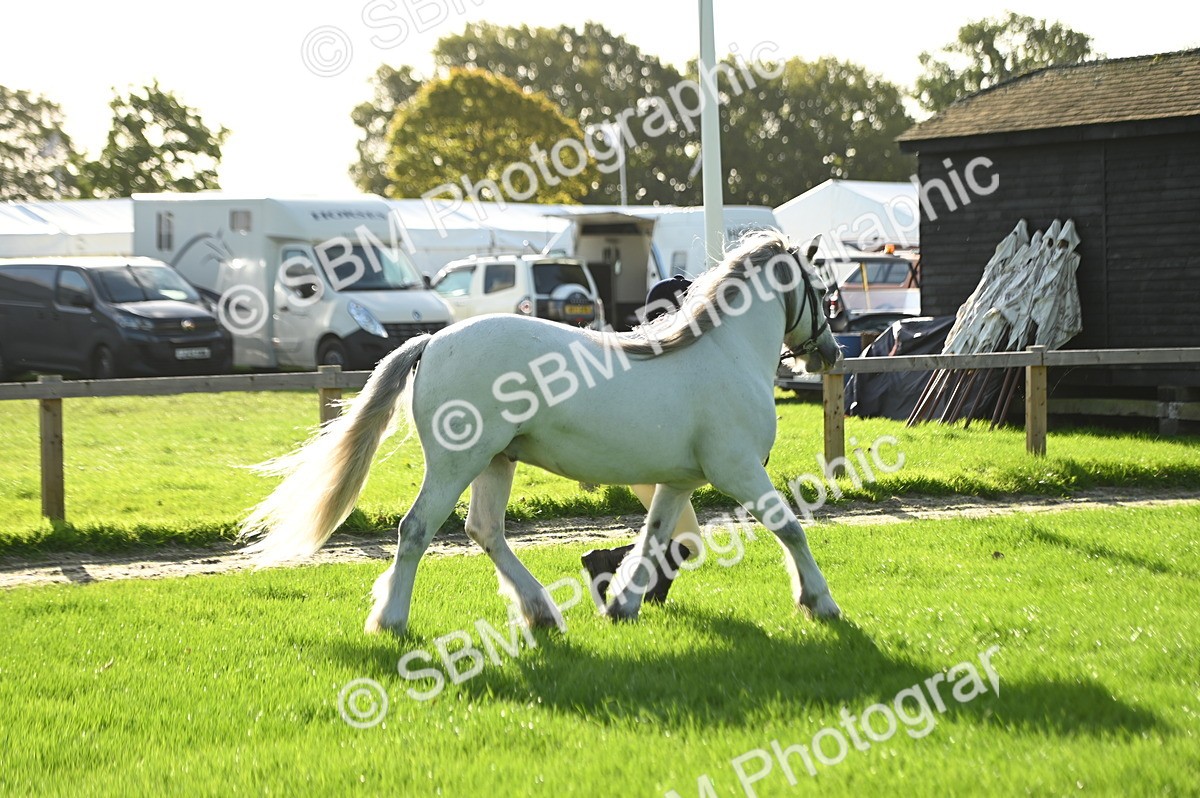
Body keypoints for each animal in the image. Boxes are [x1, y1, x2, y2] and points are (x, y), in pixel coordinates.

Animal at [238, 231, 844, 635]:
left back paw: (541, 612)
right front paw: (820, 601)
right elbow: (791, 528)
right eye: (822, 291)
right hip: (457, 463)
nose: (832, 354)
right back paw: (392, 620)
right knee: (416, 530)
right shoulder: (737, 470)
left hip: (495, 462)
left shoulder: (678, 482)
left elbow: (654, 539)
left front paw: (622, 604)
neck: (724, 351)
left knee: (485, 530)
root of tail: (432, 341)